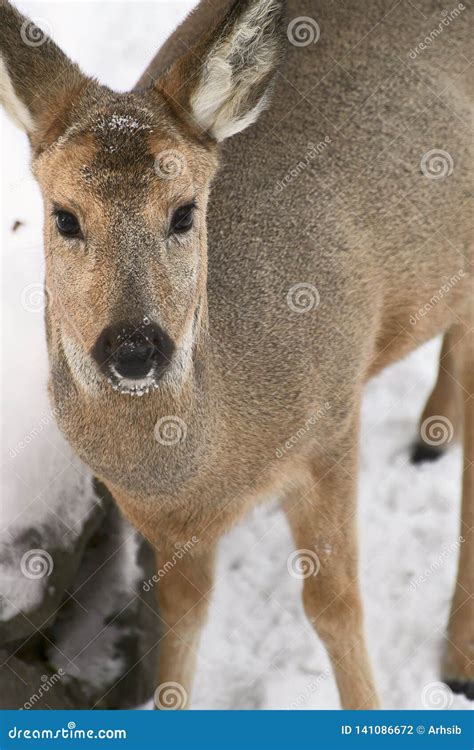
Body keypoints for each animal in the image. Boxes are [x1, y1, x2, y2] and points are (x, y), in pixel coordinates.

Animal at [1, 0, 472, 710]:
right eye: (64, 217)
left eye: (184, 212)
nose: (135, 347)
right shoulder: (163, 520)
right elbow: (182, 615)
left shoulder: (332, 420)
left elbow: (335, 605)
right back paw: (429, 438)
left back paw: (458, 662)